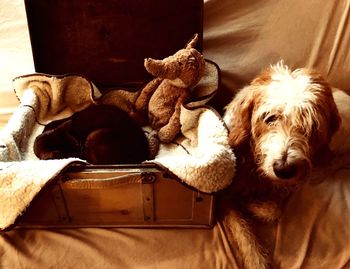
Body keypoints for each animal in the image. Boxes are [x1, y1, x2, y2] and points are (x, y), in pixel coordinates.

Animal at [220, 61, 340, 268]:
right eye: (270, 118)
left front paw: (254, 204)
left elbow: (273, 210)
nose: (283, 169)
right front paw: (256, 260)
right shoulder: (223, 195)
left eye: (311, 125)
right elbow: (242, 231)